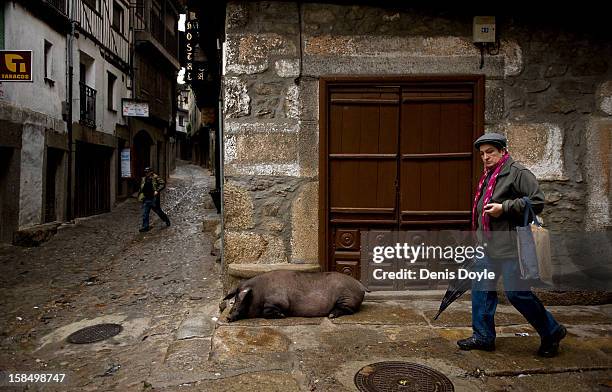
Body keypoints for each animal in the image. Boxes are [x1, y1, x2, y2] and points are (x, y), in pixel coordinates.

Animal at [224, 270, 368, 322]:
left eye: (239, 300)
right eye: (234, 299)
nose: (228, 317)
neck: (259, 293)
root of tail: (360, 285)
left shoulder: (279, 301)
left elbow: (268, 311)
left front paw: (282, 315)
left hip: (346, 298)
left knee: (348, 310)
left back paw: (331, 315)